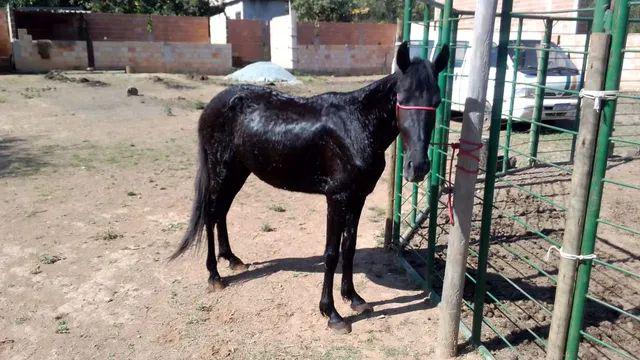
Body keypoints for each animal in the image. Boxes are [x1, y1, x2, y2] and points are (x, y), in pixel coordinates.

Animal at [171, 41, 450, 332]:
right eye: (401, 98)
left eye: (437, 102)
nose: (418, 167)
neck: (356, 126)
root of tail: (212, 106)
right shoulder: (336, 198)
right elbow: (331, 253)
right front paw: (332, 313)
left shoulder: (357, 197)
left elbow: (349, 247)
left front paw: (354, 298)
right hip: (222, 171)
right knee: (211, 214)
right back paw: (214, 275)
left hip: (238, 172)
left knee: (221, 213)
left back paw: (232, 260)